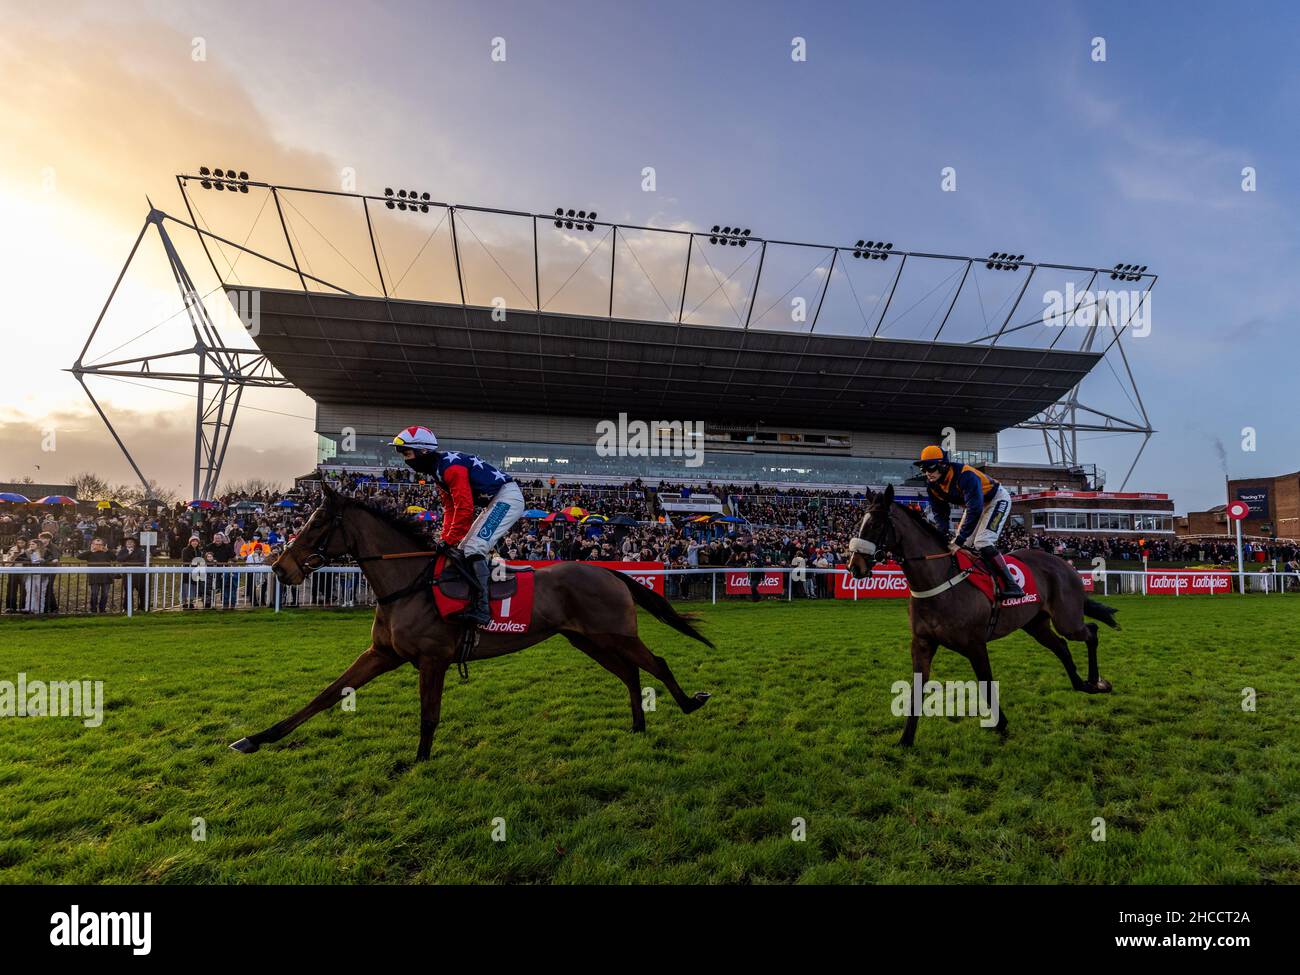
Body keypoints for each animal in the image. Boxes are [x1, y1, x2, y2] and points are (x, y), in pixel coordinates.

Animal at [224, 486, 712, 764]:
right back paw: (638, 725)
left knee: (657, 661)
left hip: (615, 634)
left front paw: (419, 762)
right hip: (587, 640)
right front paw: (255, 739)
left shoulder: (432, 659)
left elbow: (429, 715)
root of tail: (609, 571)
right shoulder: (382, 654)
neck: (411, 582)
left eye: (319, 523)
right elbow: (325, 696)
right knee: (630, 673)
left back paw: (691, 703)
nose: (279, 568)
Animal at [842, 486, 1118, 748]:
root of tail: (1064, 564)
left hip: (1067, 619)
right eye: (859, 523)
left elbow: (985, 682)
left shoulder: (975, 644)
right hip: (1035, 624)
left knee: (1091, 631)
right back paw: (1081, 684)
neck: (939, 580)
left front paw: (1001, 723)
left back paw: (1096, 682)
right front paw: (905, 739)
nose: (855, 566)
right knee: (1061, 646)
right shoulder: (922, 643)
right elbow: (917, 689)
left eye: (876, 524)